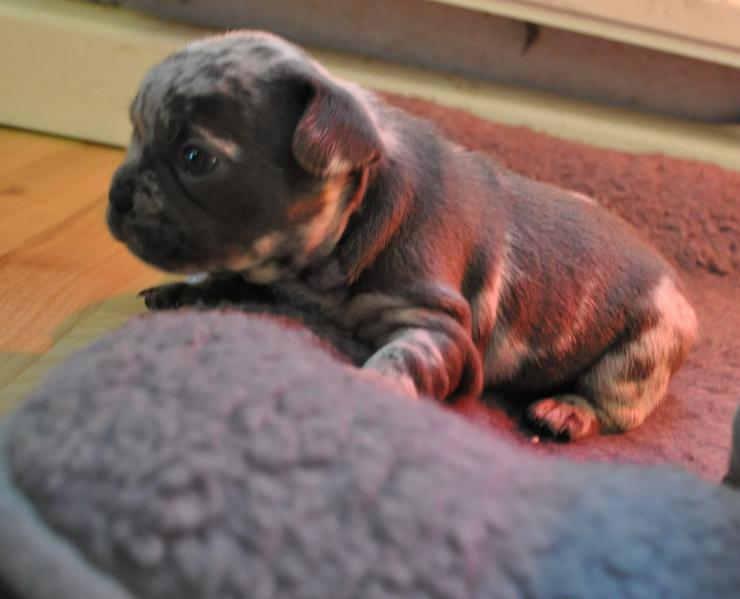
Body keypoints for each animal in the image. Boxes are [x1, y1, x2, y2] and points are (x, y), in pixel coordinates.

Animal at [107, 31, 696, 440]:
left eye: (196, 158)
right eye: (134, 133)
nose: (115, 193)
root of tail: (682, 290)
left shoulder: (438, 328)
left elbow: (402, 358)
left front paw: (370, 389)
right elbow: (229, 274)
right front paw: (186, 288)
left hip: (641, 352)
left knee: (616, 404)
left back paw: (566, 412)